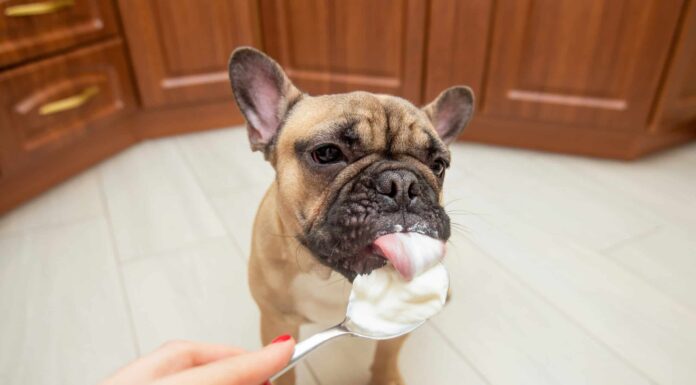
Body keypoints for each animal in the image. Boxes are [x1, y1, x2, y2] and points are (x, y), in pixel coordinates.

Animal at [227, 48, 474, 384]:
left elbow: (387, 355)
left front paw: (386, 377)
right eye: (327, 153)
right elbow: (282, 368)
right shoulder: (277, 322)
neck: (331, 275)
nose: (401, 184)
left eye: (438, 165)